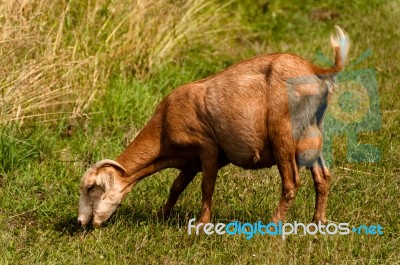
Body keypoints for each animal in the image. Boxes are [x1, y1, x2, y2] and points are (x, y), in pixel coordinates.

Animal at [76, 25, 348, 226]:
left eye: (91, 188)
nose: (80, 222)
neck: (164, 127)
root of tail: (317, 70)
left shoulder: (206, 147)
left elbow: (206, 186)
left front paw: (201, 223)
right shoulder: (189, 161)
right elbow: (176, 187)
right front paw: (162, 216)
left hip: (284, 135)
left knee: (291, 181)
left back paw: (274, 225)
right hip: (311, 134)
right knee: (322, 176)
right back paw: (318, 221)